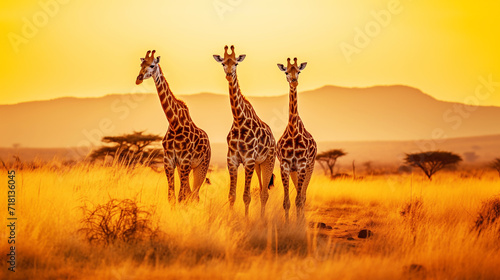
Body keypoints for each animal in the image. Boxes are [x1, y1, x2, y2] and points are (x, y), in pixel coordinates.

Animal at [136, 50, 210, 203]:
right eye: (141, 64)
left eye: (152, 65)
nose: (138, 79)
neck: (174, 123)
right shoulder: (169, 161)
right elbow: (172, 196)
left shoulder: (185, 161)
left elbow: (181, 197)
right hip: (187, 168)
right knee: (191, 194)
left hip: (201, 166)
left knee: (195, 195)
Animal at [213, 45, 278, 217]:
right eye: (223, 63)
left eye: (236, 63)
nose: (229, 75)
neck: (239, 121)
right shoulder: (232, 160)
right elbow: (232, 196)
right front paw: (230, 218)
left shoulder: (248, 161)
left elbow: (246, 196)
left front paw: (247, 220)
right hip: (258, 164)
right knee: (262, 190)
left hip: (268, 161)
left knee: (265, 193)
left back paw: (262, 220)